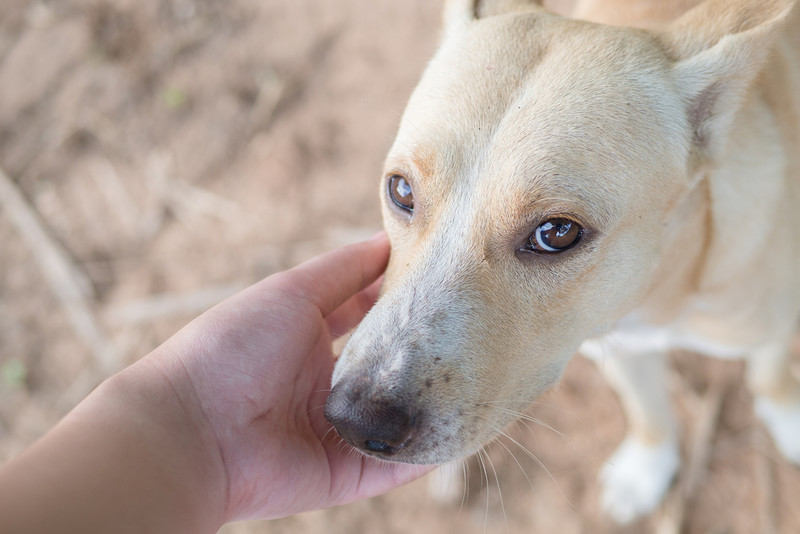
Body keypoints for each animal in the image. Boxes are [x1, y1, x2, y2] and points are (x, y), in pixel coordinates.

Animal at [324, 0, 800, 524]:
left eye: (556, 233)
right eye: (401, 191)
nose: (354, 420)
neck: (661, 292)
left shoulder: (772, 328)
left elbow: (769, 375)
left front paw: (787, 416)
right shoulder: (619, 344)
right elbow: (647, 409)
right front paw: (646, 468)